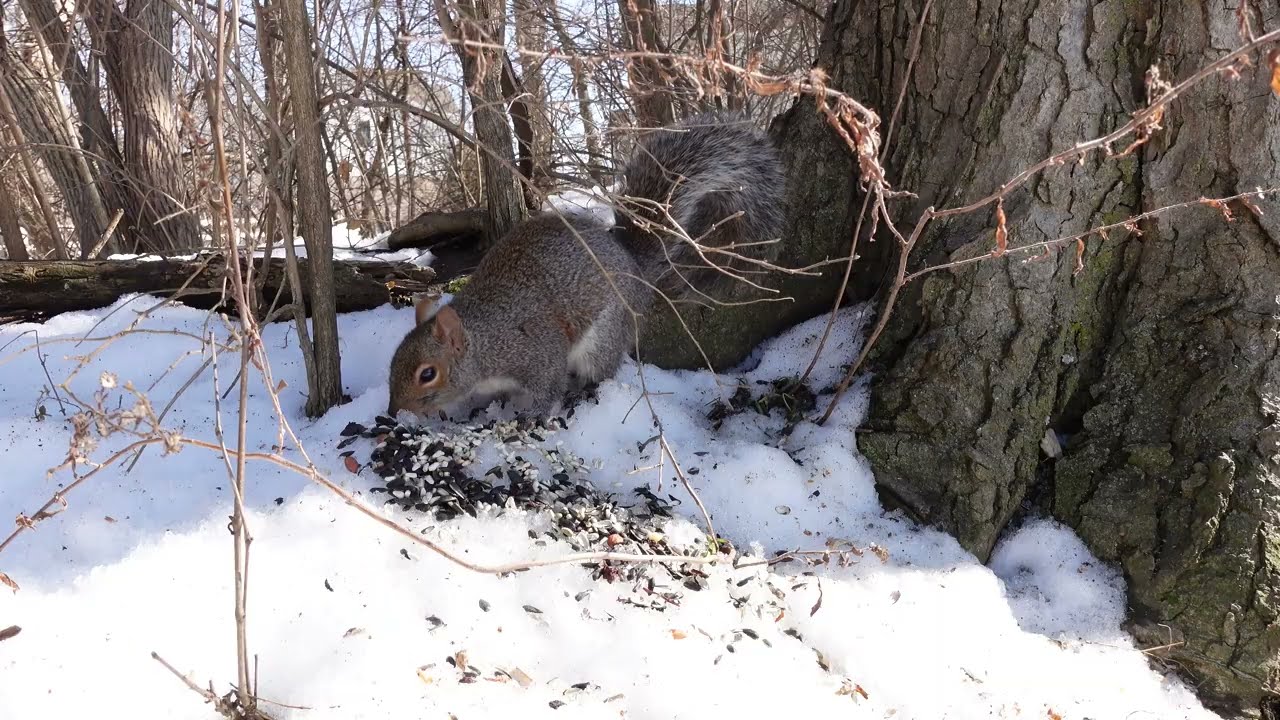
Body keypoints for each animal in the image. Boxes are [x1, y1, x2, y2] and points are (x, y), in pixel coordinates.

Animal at [386, 112, 786, 419]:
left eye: (427, 374)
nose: (394, 411)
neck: (482, 342)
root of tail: (632, 264)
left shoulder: (535, 353)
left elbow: (548, 386)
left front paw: (531, 416)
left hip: (603, 335)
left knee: (602, 369)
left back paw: (585, 391)